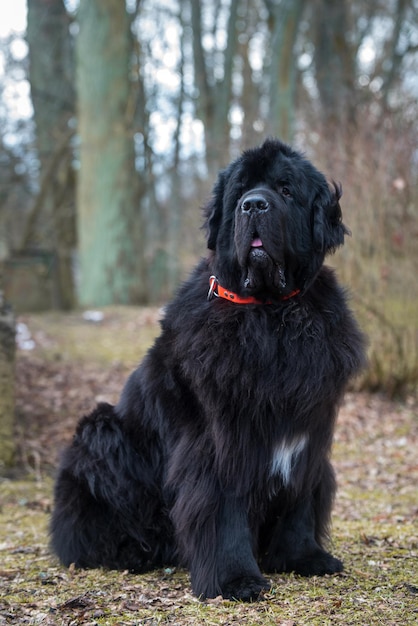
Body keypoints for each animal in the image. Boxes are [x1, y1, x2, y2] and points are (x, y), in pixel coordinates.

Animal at [51, 138, 366, 600]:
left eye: (286, 190)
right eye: (240, 193)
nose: (254, 205)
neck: (271, 313)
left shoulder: (309, 430)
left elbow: (300, 498)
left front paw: (303, 558)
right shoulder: (219, 440)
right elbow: (222, 508)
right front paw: (235, 580)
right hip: (101, 430)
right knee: (84, 532)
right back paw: (133, 550)